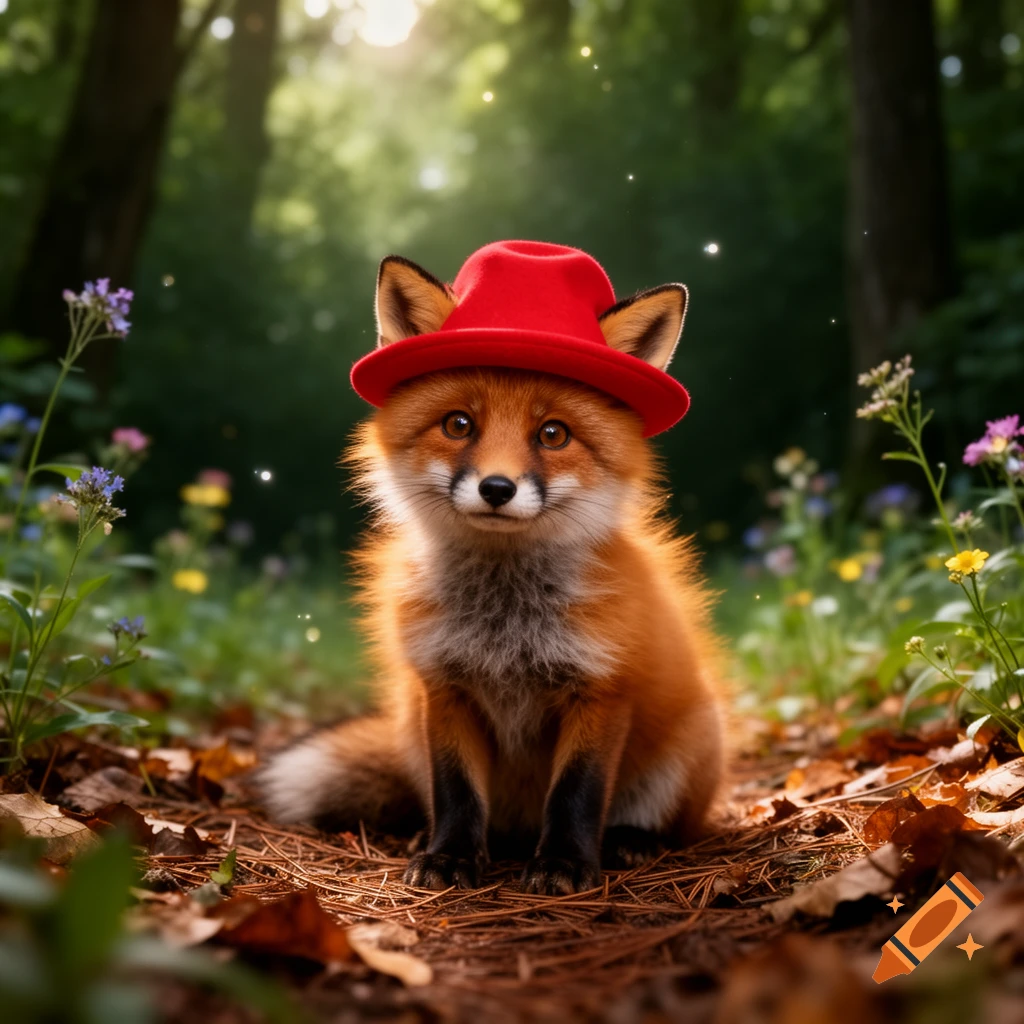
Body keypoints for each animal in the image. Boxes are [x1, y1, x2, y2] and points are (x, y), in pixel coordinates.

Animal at [260, 247, 726, 895]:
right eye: (459, 424)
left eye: (553, 434)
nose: (497, 488)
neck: (506, 627)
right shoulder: (445, 686)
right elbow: (456, 791)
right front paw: (450, 856)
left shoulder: (601, 691)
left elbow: (577, 794)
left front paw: (563, 864)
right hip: (412, 731)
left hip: (690, 745)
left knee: (662, 822)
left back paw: (630, 841)